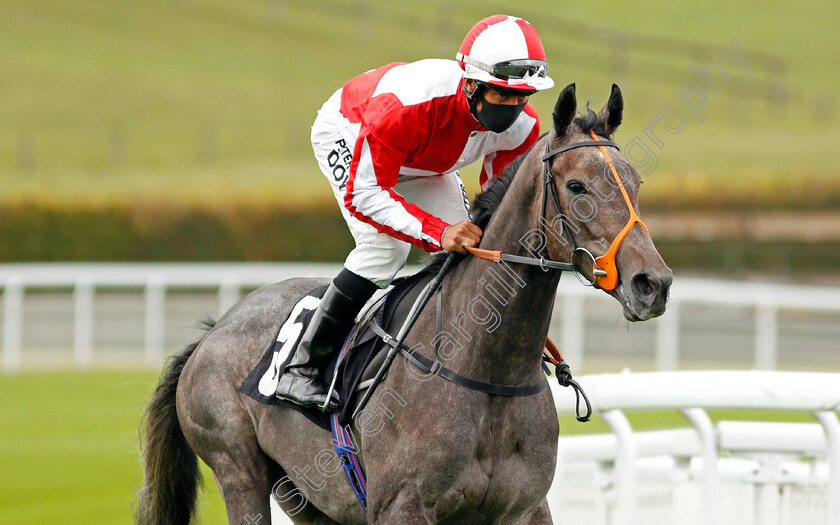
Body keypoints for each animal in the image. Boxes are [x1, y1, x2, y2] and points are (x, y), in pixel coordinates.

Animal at [136, 83, 676, 524]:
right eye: (576, 185)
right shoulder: (402, 506)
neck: (487, 370)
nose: (653, 283)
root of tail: (213, 331)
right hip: (239, 471)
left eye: (636, 183)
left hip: (307, 495)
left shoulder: (525, 508)